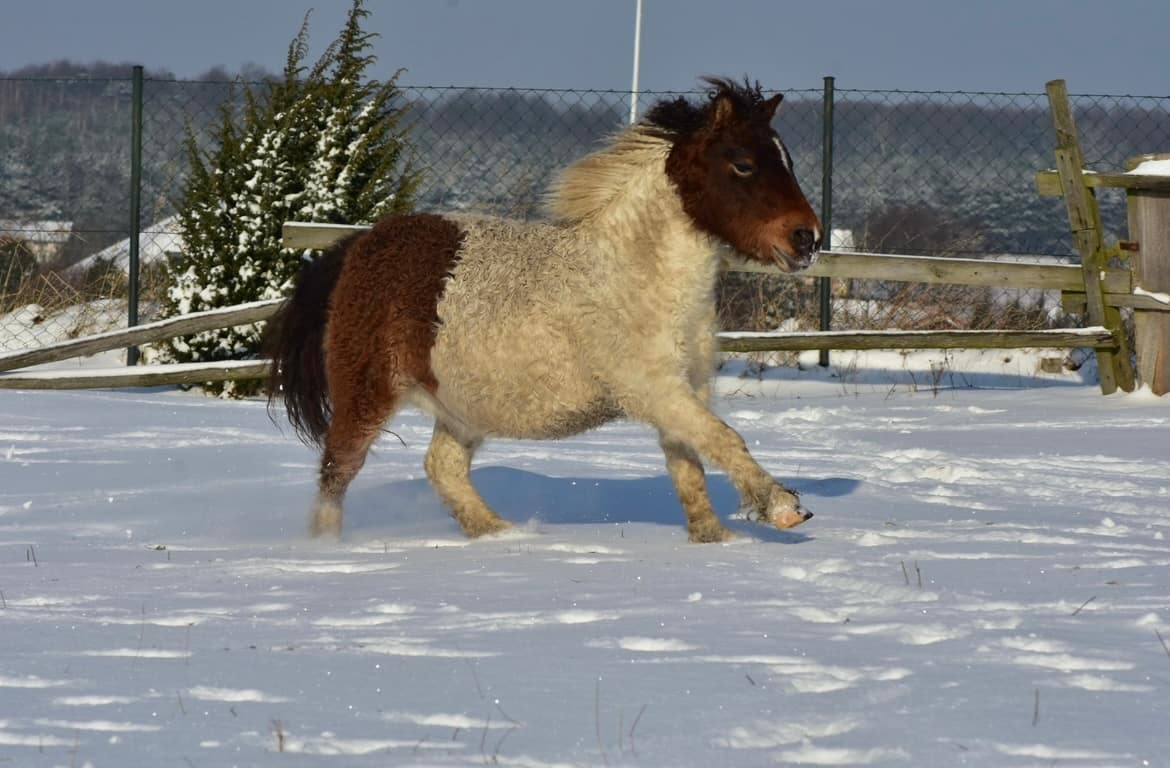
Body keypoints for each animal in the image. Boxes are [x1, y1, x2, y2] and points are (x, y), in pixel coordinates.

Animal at [267, 77, 822, 543]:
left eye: (788, 161)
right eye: (743, 163)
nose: (807, 238)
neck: (634, 275)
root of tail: (356, 248)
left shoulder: (687, 388)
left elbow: (690, 466)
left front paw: (714, 541)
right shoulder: (652, 389)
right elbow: (724, 439)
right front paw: (783, 508)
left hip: (461, 405)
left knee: (441, 468)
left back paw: (502, 534)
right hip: (368, 392)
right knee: (338, 470)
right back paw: (329, 549)